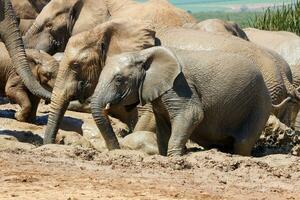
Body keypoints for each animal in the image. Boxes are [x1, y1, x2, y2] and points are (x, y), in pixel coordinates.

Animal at [89, 47, 272, 156]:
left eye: (119, 79)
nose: (116, 151)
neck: (143, 53)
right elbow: (162, 125)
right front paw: (164, 157)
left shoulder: (180, 84)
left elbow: (192, 114)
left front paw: (175, 157)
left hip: (259, 105)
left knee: (243, 143)